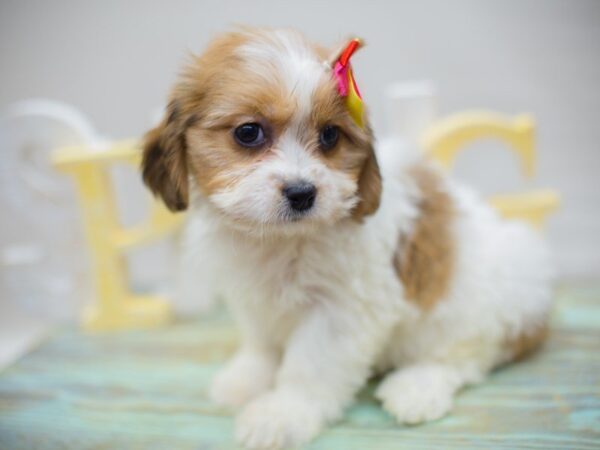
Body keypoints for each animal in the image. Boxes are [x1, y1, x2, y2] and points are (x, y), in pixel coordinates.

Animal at [141, 28, 552, 450]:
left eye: (330, 136)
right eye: (248, 132)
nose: (302, 192)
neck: (280, 240)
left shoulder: (339, 311)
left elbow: (309, 366)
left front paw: (283, 413)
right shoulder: (253, 298)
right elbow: (261, 343)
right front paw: (247, 379)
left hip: (484, 307)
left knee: (465, 357)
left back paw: (418, 388)